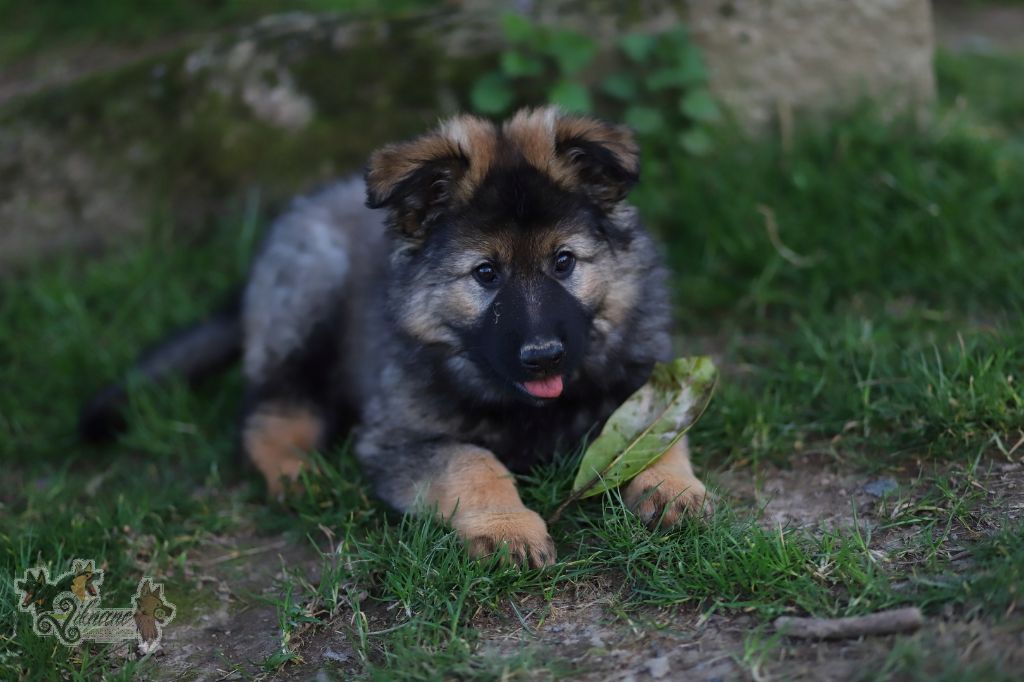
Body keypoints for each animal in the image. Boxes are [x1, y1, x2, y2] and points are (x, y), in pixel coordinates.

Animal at [79, 104, 708, 561]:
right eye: (486, 274)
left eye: (564, 262)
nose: (544, 357)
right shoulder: (397, 438)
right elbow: (472, 462)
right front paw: (508, 528)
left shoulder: (645, 381)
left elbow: (660, 432)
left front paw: (669, 488)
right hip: (309, 300)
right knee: (268, 411)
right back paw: (298, 475)